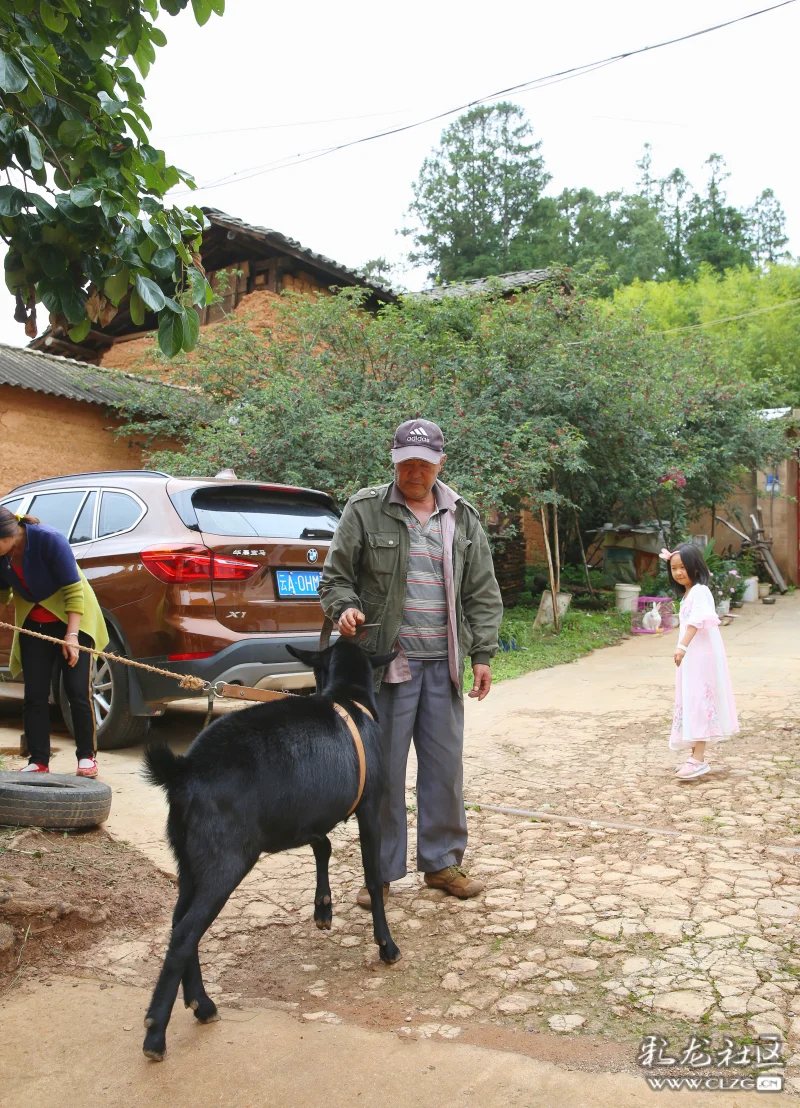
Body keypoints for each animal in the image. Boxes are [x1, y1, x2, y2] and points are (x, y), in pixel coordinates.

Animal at [140, 642, 398, 1063]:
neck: (348, 698)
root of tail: (185, 772)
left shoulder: (307, 815)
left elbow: (322, 844)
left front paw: (323, 908)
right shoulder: (369, 805)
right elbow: (373, 877)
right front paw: (387, 946)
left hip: (189, 857)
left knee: (180, 922)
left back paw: (202, 1004)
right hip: (225, 859)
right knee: (185, 932)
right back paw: (155, 1035)